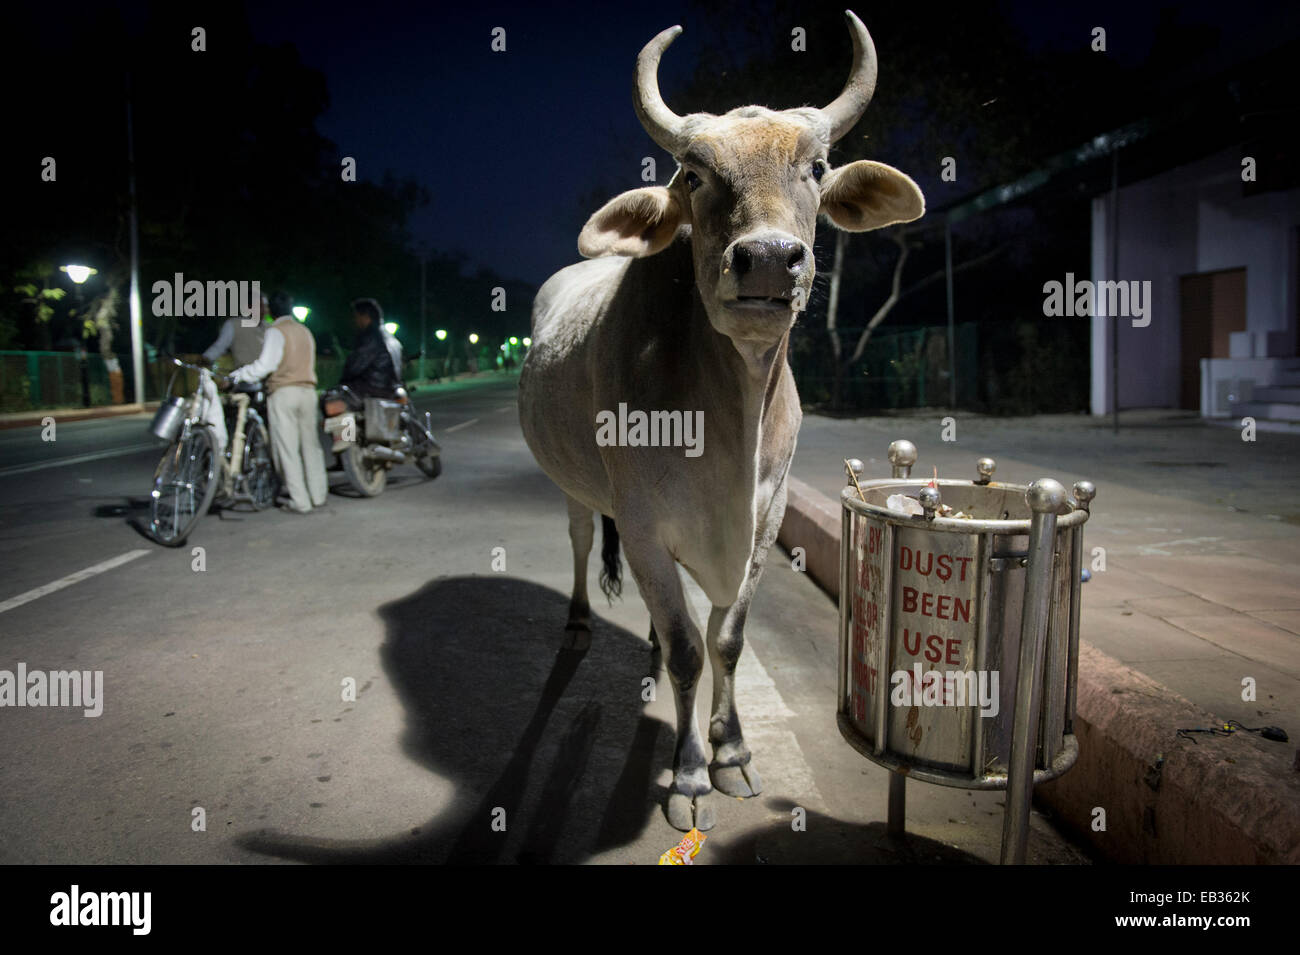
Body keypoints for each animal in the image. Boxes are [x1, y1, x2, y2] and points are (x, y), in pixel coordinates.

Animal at [517, 9, 925, 831]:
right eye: (694, 175)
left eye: (817, 167)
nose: (768, 259)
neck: (730, 415)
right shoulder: (644, 525)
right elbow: (686, 650)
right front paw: (688, 772)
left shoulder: (766, 520)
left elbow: (726, 639)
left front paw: (731, 750)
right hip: (577, 488)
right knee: (580, 541)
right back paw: (579, 621)